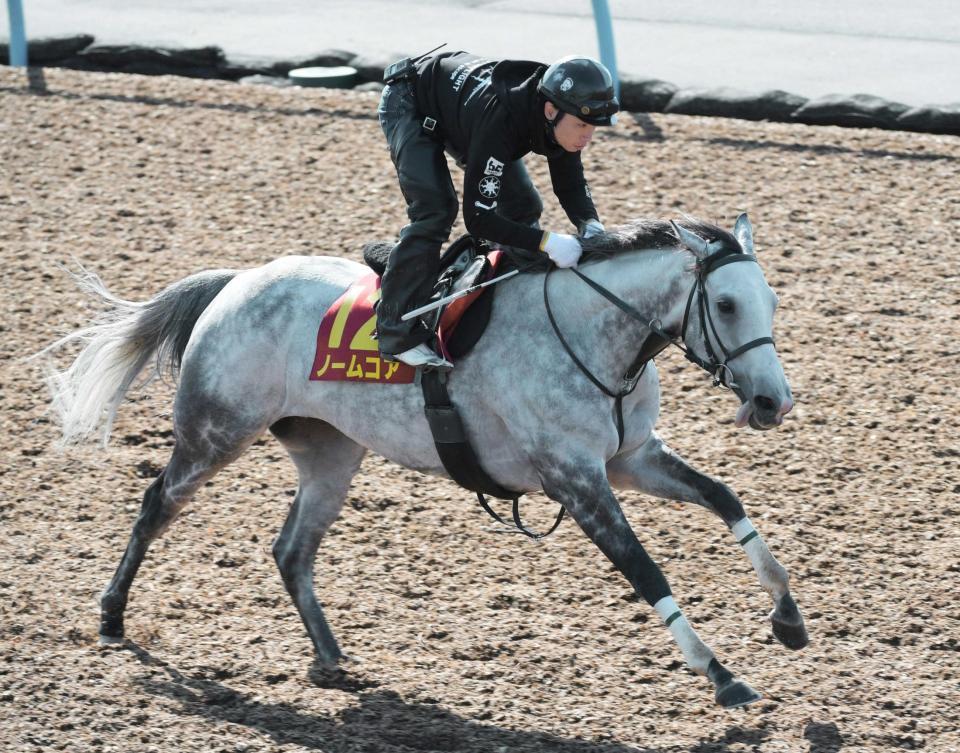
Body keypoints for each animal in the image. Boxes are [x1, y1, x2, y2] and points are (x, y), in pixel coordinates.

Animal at [45, 214, 808, 708]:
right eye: (727, 302)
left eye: (771, 300)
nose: (774, 400)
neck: (590, 332)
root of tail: (237, 282)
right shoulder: (578, 478)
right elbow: (646, 570)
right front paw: (720, 673)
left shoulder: (631, 458)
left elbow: (726, 497)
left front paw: (788, 618)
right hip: (216, 431)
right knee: (157, 505)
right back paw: (111, 616)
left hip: (331, 452)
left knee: (292, 549)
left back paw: (331, 656)